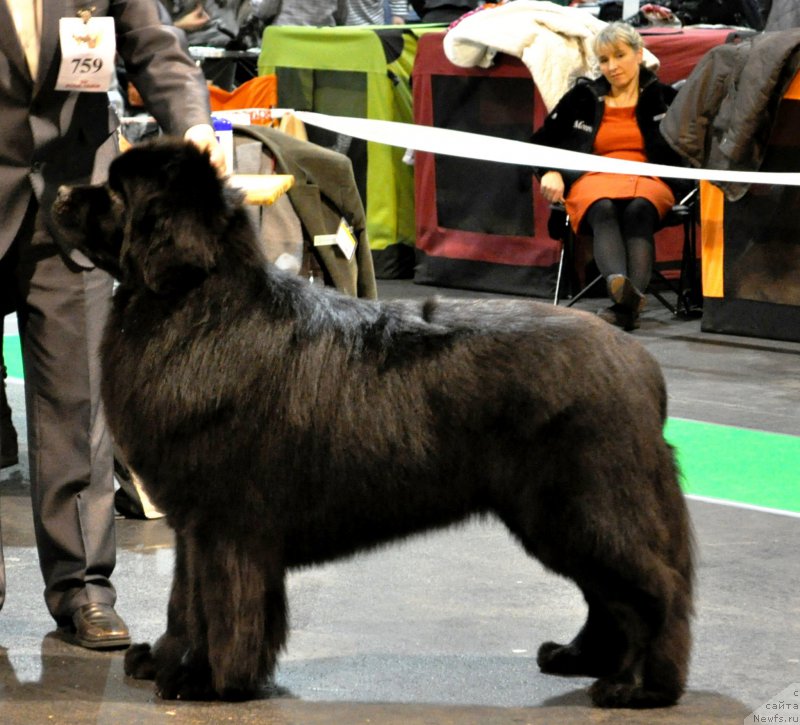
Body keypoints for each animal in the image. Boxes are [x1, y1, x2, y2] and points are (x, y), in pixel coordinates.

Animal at [50, 136, 692, 708]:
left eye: (115, 192)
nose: (57, 192)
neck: (196, 309)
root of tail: (640, 365)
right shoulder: (193, 523)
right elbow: (185, 601)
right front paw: (165, 660)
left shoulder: (224, 521)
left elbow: (223, 604)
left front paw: (207, 681)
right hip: (558, 516)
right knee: (608, 596)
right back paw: (579, 658)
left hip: (585, 505)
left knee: (653, 588)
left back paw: (641, 687)